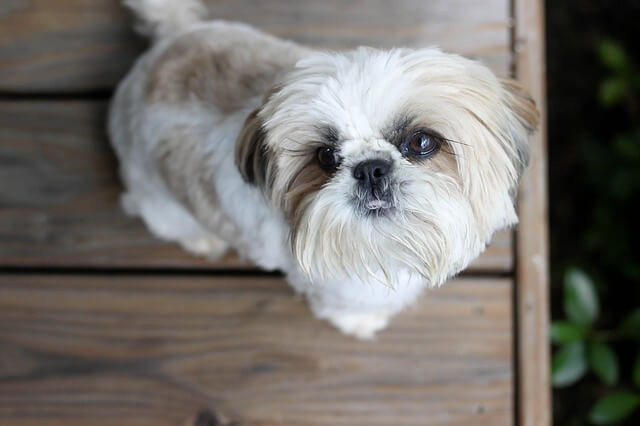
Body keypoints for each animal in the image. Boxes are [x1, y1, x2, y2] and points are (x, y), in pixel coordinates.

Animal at [107, 0, 536, 340]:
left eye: (421, 142)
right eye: (326, 156)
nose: (370, 169)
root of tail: (169, 41)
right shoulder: (343, 291)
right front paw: (362, 323)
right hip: (158, 201)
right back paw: (203, 240)